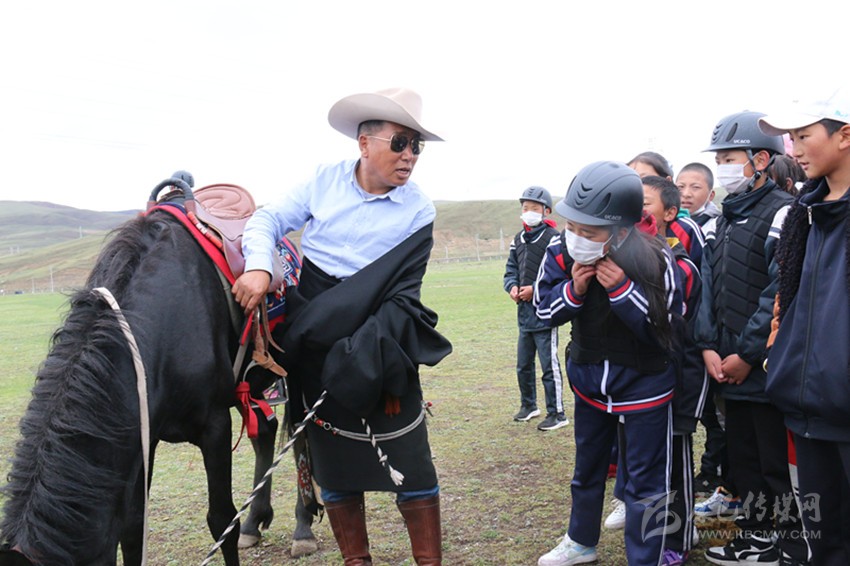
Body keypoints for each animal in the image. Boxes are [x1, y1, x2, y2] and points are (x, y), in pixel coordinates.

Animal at [0, 183, 317, 565]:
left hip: (295, 371)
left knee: (299, 436)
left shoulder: (214, 426)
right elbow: (133, 525)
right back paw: (254, 523)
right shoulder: (141, 436)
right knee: (265, 432)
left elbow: (220, 519)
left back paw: (303, 529)